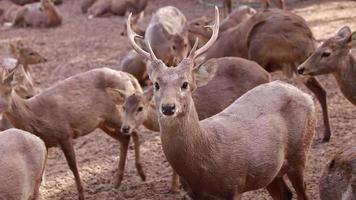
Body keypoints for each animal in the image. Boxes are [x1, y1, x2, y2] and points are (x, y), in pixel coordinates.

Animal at [0, 67, 146, 200]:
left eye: (4, 90)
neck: (34, 116)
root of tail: (128, 76)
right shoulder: (45, 143)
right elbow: (41, 174)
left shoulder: (64, 133)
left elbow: (73, 165)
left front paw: (81, 195)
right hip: (102, 122)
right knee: (124, 138)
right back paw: (117, 182)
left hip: (116, 114)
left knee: (134, 132)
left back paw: (141, 174)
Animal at [126, 7, 316, 198]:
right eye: (156, 84)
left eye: (185, 84)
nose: (168, 107)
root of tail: (305, 96)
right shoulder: (194, 194)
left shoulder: (234, 184)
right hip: (271, 172)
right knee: (286, 194)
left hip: (299, 152)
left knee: (302, 191)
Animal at [191, 8, 332, 142]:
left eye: (198, 23)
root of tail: (306, 32)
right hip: (302, 67)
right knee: (321, 91)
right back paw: (326, 135)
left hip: (259, 56)